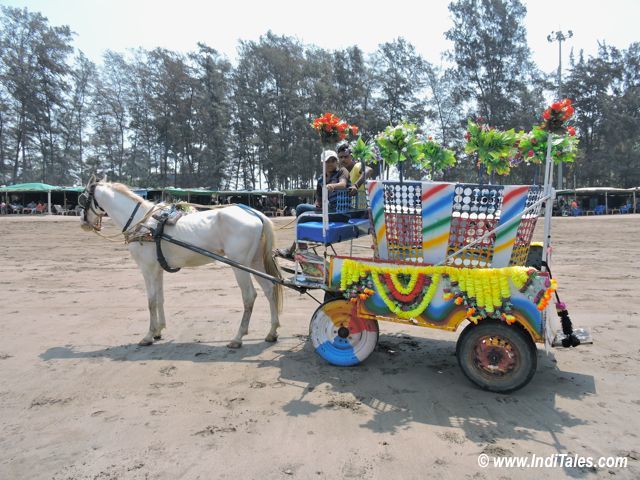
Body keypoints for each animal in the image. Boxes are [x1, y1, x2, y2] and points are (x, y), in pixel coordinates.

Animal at [79, 174, 282, 346]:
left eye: (82, 198)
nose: (83, 223)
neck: (142, 223)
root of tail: (255, 213)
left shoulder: (147, 269)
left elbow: (151, 301)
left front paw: (148, 335)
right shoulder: (157, 269)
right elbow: (160, 299)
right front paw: (158, 331)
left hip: (240, 266)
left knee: (249, 296)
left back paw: (238, 338)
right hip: (254, 263)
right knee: (269, 289)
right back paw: (272, 332)